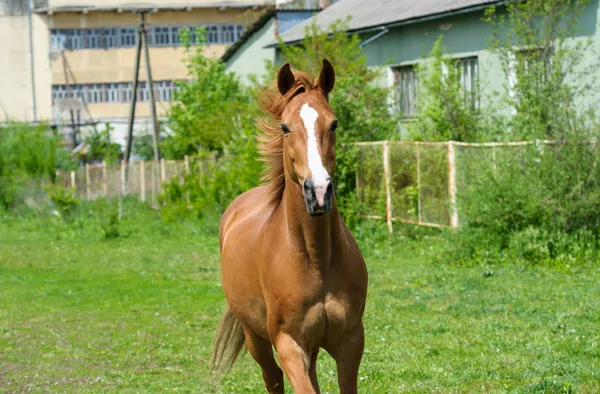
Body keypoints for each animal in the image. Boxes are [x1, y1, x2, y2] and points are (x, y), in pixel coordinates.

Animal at [213, 60, 368, 392]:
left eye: (334, 124)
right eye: (285, 127)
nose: (319, 191)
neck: (315, 258)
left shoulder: (350, 342)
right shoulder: (289, 345)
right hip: (255, 337)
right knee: (272, 378)